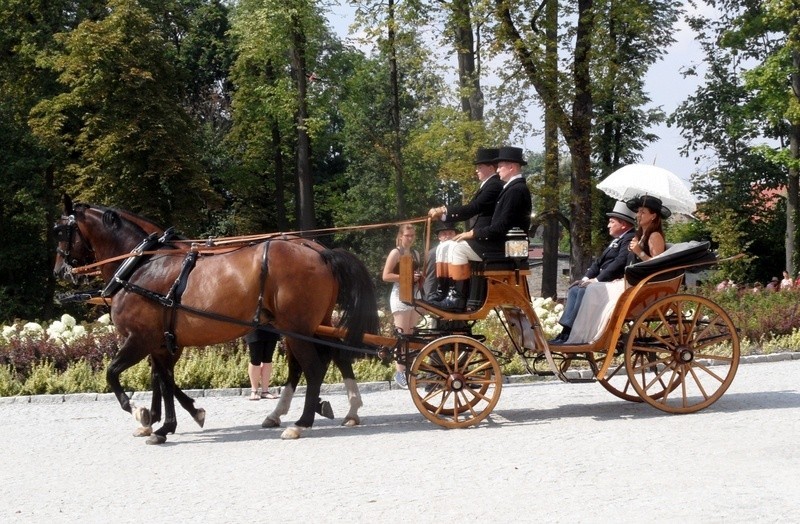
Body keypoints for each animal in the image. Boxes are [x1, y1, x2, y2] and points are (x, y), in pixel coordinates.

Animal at [54, 196, 380, 442]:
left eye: (59, 230)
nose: (59, 271)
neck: (141, 265)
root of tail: (322, 253)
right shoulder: (161, 343)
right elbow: (164, 379)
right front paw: (166, 423)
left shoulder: (140, 339)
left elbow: (114, 374)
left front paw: (141, 412)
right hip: (310, 325)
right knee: (328, 357)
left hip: (295, 327)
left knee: (313, 368)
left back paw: (301, 422)